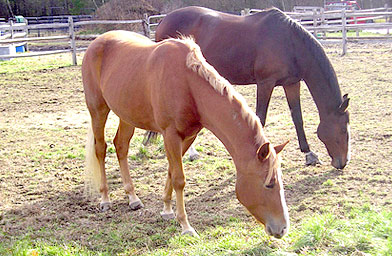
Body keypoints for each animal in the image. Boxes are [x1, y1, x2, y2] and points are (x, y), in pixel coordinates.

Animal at [81, 31, 290, 238]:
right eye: (269, 184)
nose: (282, 228)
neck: (188, 86)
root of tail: (96, 42)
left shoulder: (188, 137)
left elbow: (171, 171)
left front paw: (166, 210)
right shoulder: (170, 135)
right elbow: (179, 179)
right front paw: (185, 225)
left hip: (127, 115)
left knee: (121, 147)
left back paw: (132, 198)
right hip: (98, 110)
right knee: (100, 149)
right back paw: (105, 199)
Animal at [155, 6, 350, 169]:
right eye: (343, 129)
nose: (342, 162)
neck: (289, 43)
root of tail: (163, 21)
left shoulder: (291, 83)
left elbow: (297, 118)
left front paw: (309, 153)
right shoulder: (265, 83)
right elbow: (260, 119)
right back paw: (192, 152)